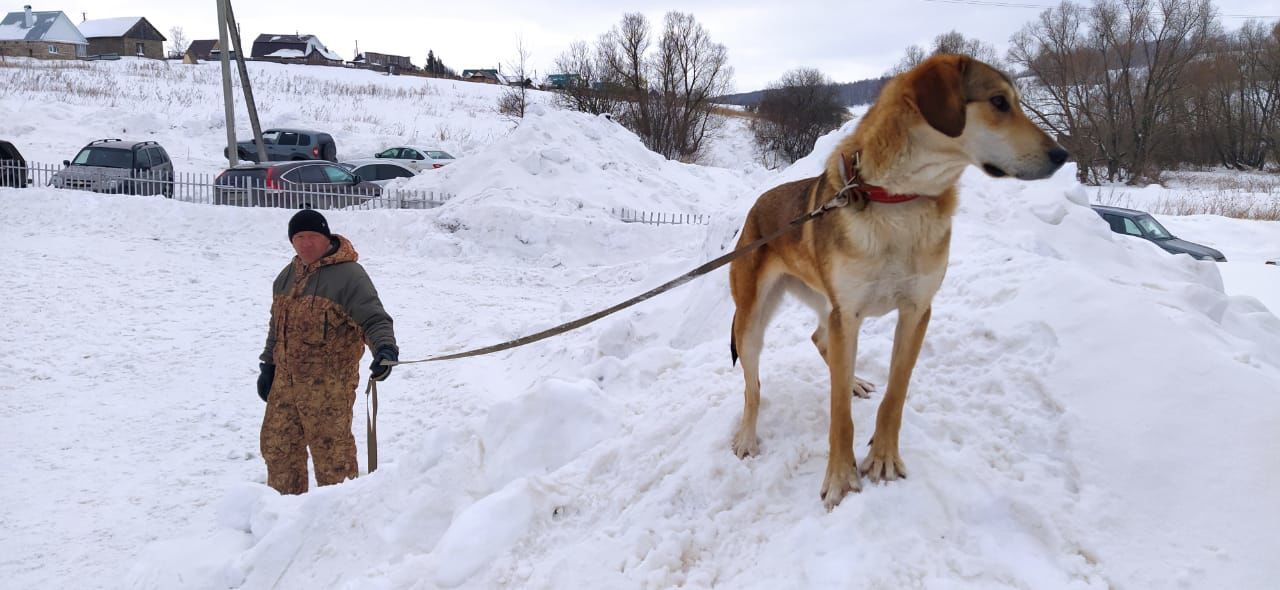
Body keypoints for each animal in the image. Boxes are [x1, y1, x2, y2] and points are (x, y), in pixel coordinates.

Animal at [727, 52, 1064, 509]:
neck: (899, 199)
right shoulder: (848, 312)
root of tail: (756, 207)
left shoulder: (916, 310)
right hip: (753, 320)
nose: (1062, 154)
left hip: (824, 304)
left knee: (819, 339)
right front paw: (840, 477)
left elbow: (895, 395)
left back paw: (852, 380)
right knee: (753, 385)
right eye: (998, 102)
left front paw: (884, 459)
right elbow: (839, 416)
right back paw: (748, 436)